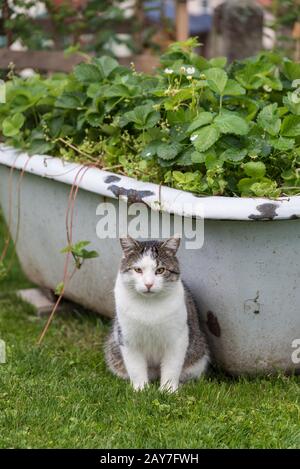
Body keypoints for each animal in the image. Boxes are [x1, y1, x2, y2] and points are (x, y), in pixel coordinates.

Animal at [104, 234, 210, 392]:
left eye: (160, 270)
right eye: (138, 269)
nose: (149, 284)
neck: (149, 306)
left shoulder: (178, 338)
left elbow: (172, 367)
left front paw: (168, 390)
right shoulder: (128, 338)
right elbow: (135, 367)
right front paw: (141, 388)